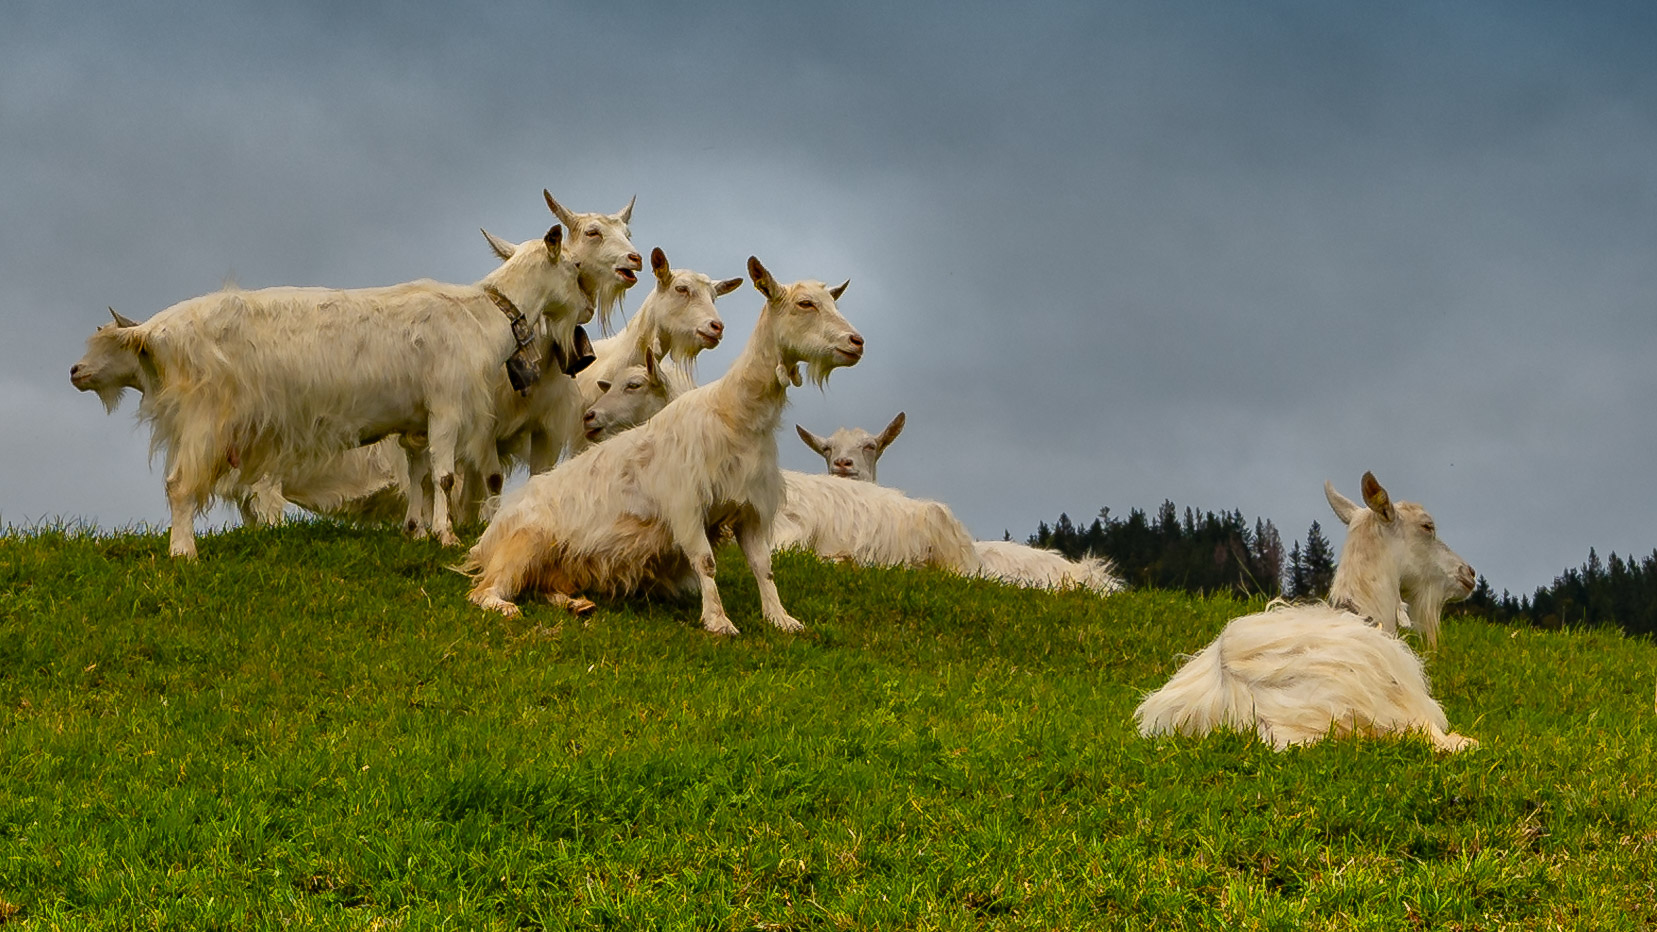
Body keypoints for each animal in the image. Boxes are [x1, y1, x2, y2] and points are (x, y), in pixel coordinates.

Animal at [85, 213, 589, 553]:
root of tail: (152, 330)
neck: (481, 314)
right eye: (574, 268)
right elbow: (444, 476)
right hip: (203, 418)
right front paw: (445, 536)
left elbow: (419, 476)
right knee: (178, 483)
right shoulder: (446, 404)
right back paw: (183, 552)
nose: (585, 308)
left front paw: (414, 531)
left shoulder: (415, 423)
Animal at [460, 253, 861, 630]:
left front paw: (781, 619)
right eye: (805, 304)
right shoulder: (686, 502)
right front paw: (718, 621)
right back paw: (504, 606)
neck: (732, 414)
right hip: (524, 545)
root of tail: (487, 537)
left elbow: (764, 567)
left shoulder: (750, 508)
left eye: (833, 301)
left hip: (559, 562)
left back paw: (577, 604)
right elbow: (706, 562)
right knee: (484, 590)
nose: (856, 342)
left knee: (546, 585)